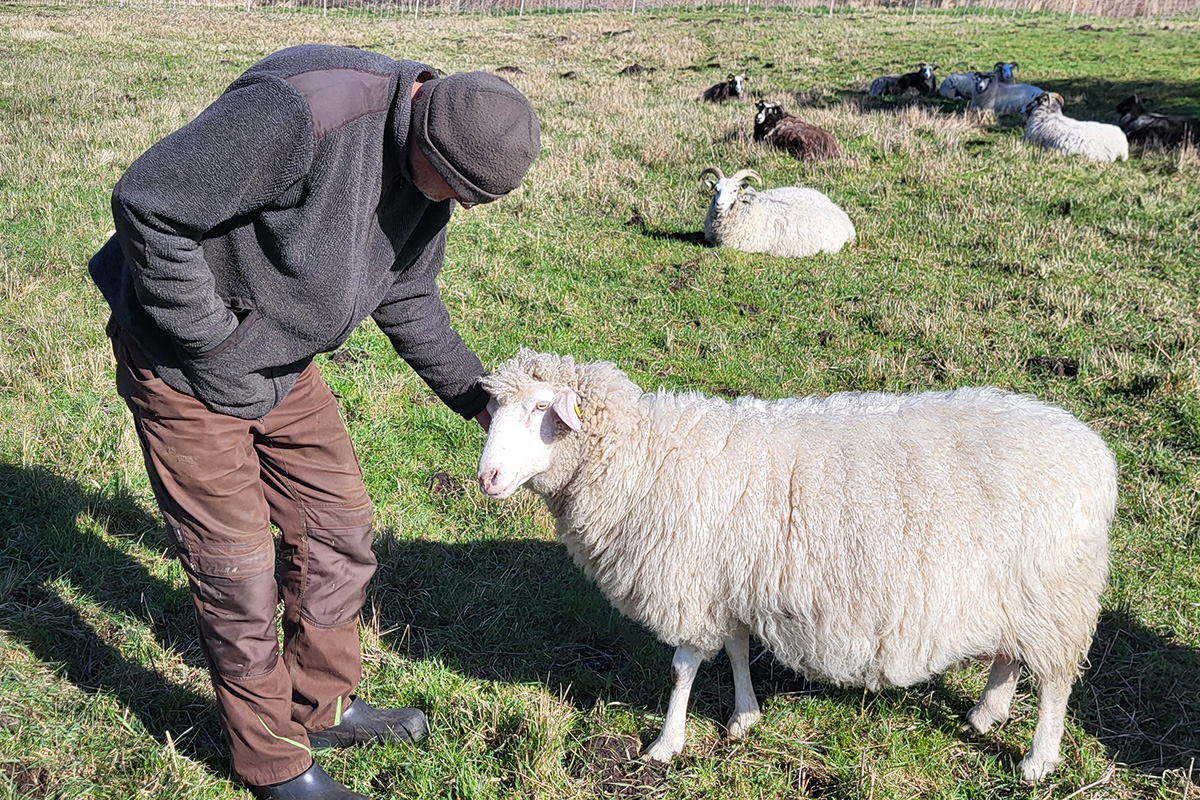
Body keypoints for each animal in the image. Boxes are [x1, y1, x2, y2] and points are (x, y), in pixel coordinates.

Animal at [475, 352, 1113, 786]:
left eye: (541, 409)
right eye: (493, 411)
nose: (487, 478)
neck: (646, 459)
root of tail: (1095, 455)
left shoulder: (693, 584)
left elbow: (682, 670)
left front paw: (665, 744)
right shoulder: (727, 583)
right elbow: (735, 650)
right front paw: (744, 717)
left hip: (1055, 592)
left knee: (1054, 681)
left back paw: (1037, 760)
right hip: (1018, 593)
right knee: (1010, 655)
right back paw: (986, 714)